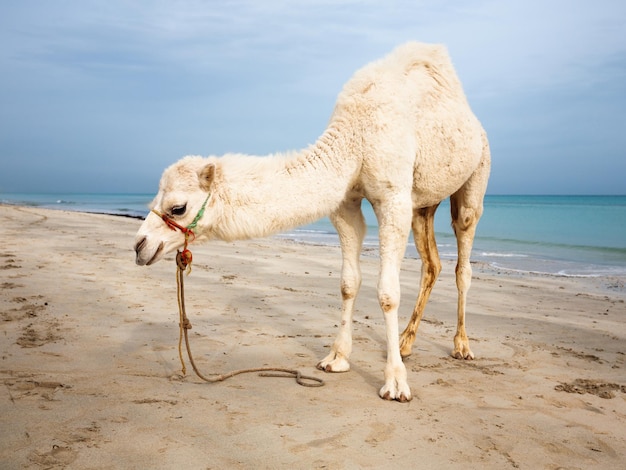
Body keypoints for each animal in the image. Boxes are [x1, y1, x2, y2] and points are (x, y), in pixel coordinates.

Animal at [134, 42, 490, 402]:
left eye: (178, 208)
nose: (139, 245)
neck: (354, 139)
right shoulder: (345, 204)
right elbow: (348, 283)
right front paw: (336, 359)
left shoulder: (394, 198)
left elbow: (388, 293)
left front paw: (395, 383)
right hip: (424, 204)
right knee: (432, 263)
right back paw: (406, 343)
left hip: (477, 172)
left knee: (463, 251)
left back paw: (461, 346)